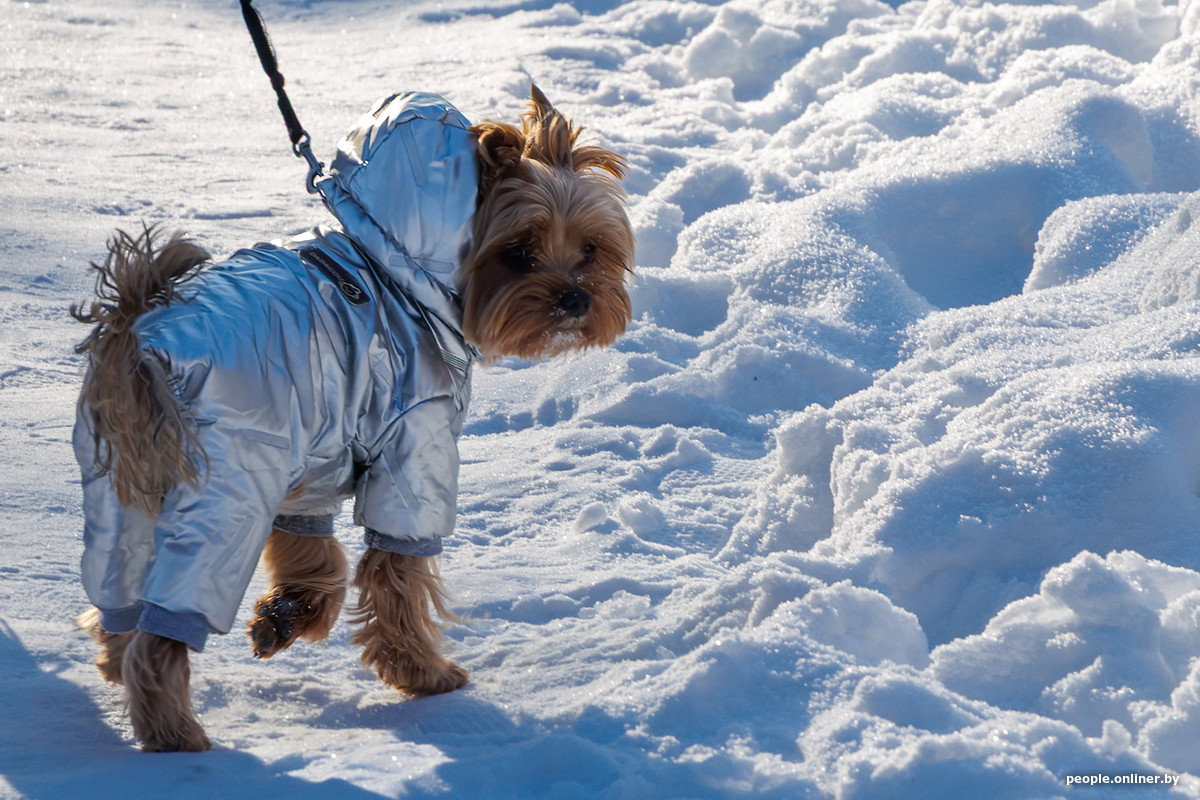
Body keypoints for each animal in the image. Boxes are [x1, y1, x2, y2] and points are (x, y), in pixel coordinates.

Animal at [71, 85, 634, 752]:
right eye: (518, 253)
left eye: (591, 249)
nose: (576, 299)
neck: (402, 269)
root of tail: (138, 338)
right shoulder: (412, 438)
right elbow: (398, 572)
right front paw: (424, 675)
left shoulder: (314, 445)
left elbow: (310, 545)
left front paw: (289, 616)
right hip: (227, 481)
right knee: (169, 625)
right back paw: (177, 738)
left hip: (121, 488)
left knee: (120, 587)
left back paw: (115, 658)